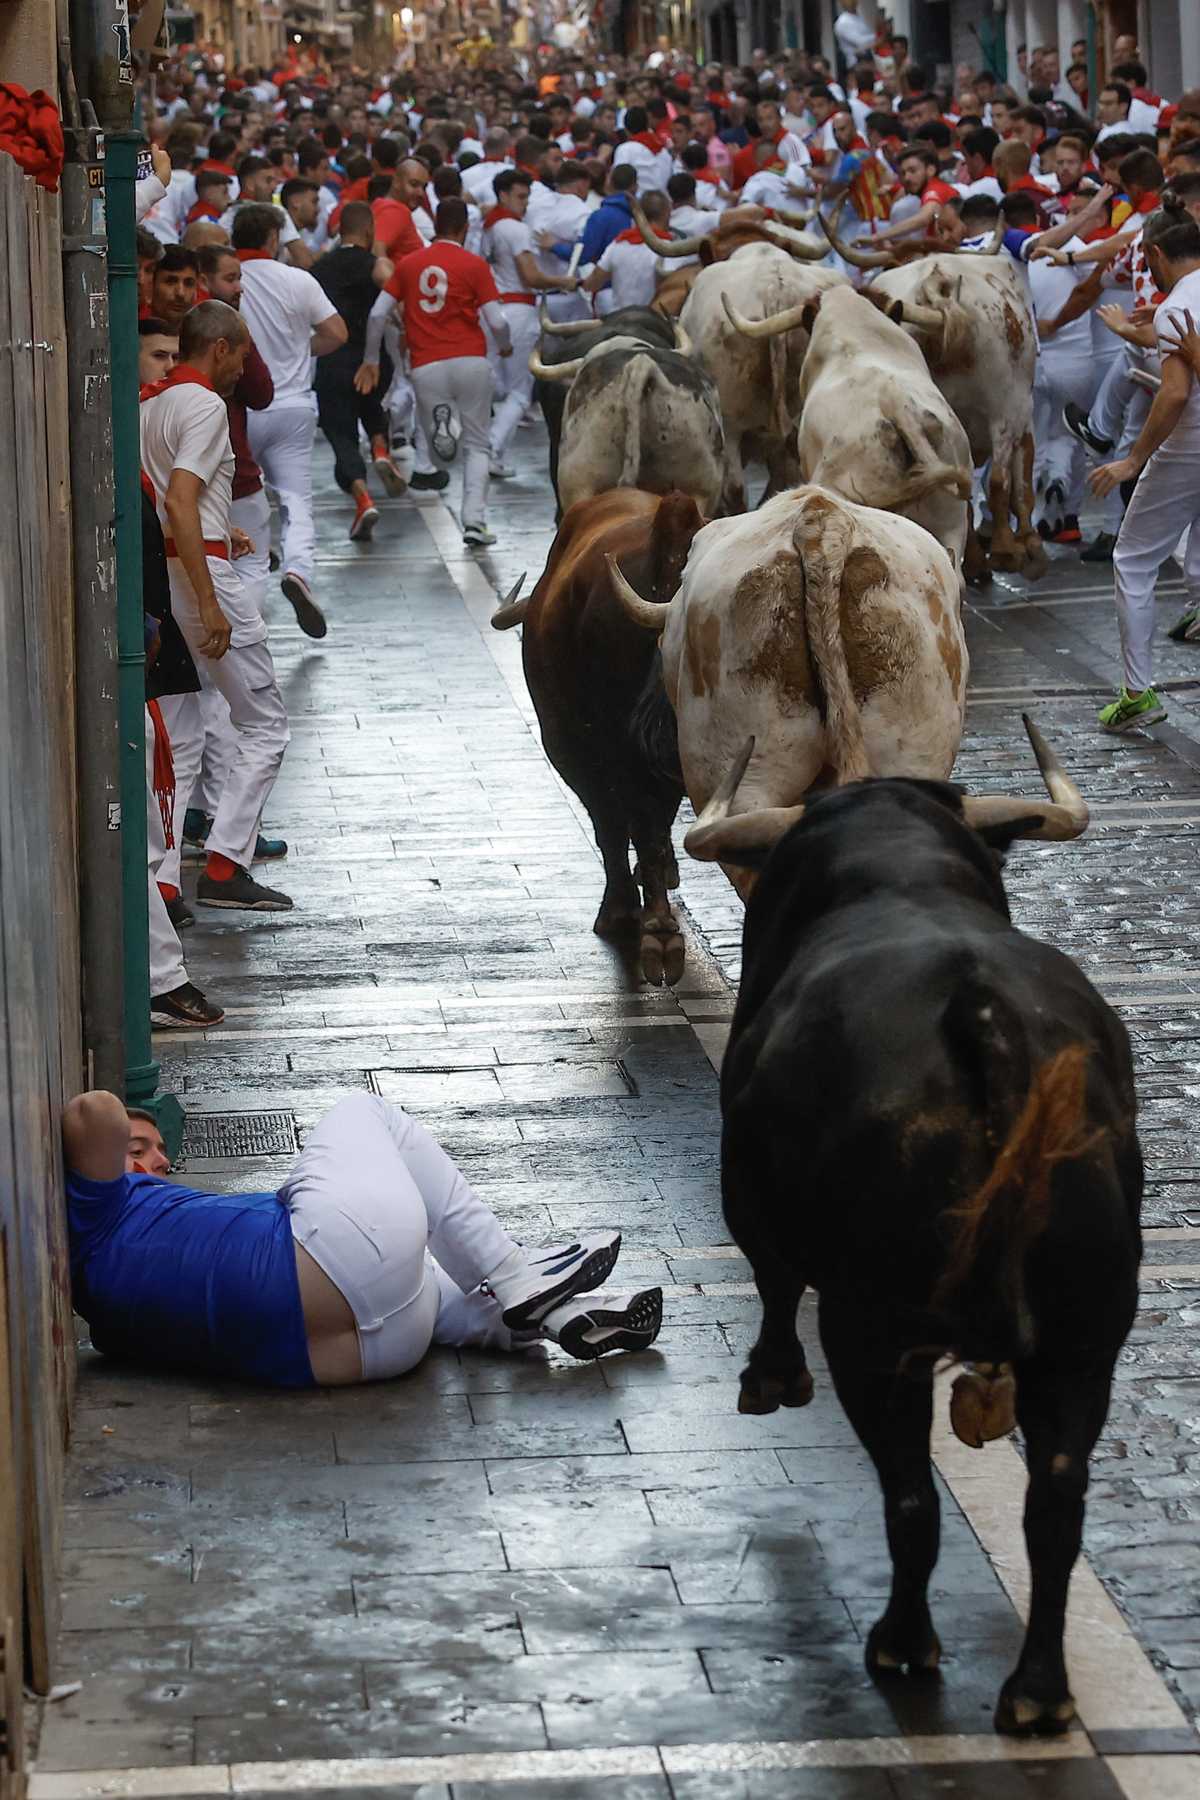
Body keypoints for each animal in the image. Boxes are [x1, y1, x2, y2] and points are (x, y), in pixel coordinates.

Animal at [719, 781, 1144, 1735]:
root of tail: (982, 1020)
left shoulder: (748, 1192)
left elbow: (772, 1275)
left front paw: (769, 1378)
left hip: (873, 1334)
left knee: (911, 1496)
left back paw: (903, 1643)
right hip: (1086, 1342)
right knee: (1055, 1507)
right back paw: (1037, 1691)